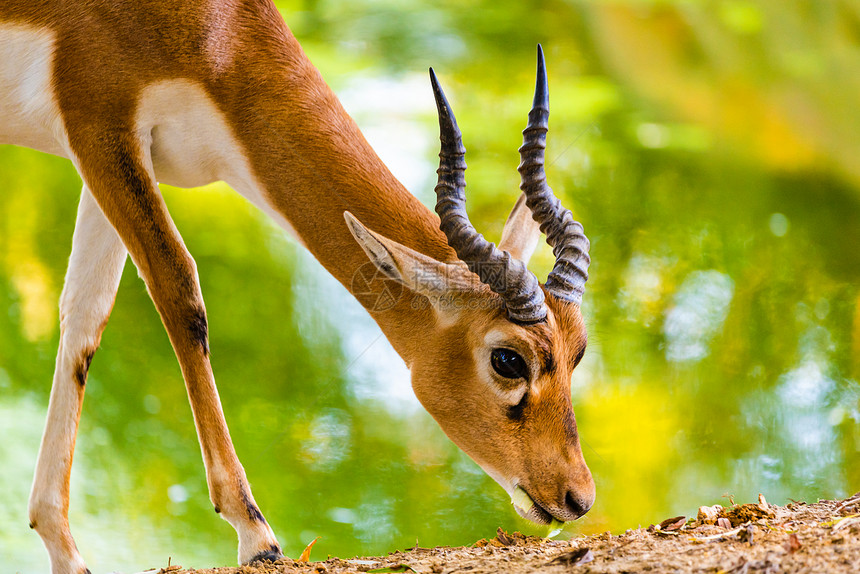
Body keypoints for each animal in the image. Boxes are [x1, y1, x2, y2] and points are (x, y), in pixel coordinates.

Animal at [0, 1, 596, 574]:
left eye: (579, 353)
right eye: (508, 359)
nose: (579, 498)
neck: (216, 30)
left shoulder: (110, 153)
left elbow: (85, 316)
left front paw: (62, 548)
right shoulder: (99, 126)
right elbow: (179, 289)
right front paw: (255, 535)